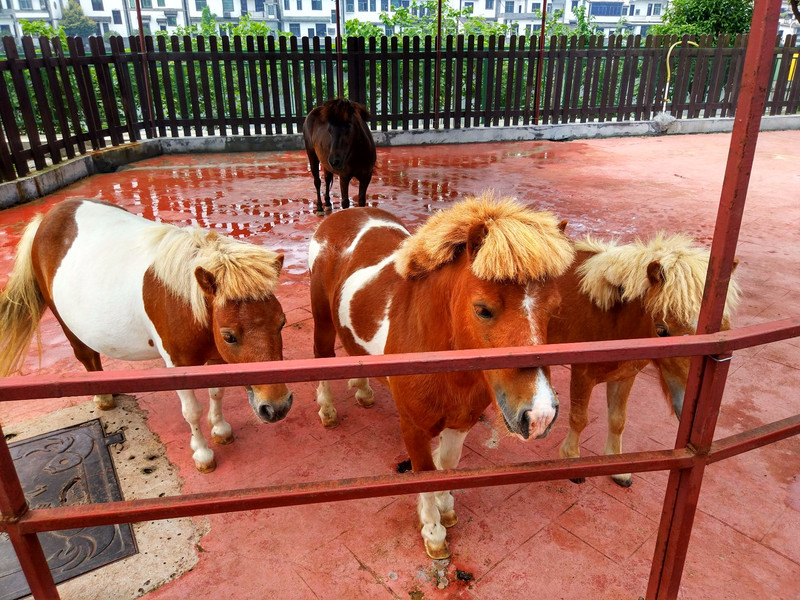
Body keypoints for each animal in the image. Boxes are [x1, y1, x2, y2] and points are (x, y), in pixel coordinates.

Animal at [0, 200, 294, 474]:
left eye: (282, 323)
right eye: (229, 336)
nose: (277, 406)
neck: (184, 300)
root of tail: (47, 217)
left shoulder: (216, 358)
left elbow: (216, 393)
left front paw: (221, 430)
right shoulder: (178, 365)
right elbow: (192, 411)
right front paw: (202, 454)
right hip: (66, 324)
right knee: (86, 355)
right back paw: (103, 398)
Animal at [306, 195, 576, 560]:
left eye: (554, 309)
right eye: (483, 309)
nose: (540, 415)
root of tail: (345, 214)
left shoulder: (461, 422)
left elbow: (447, 464)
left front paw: (445, 507)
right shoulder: (413, 428)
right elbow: (426, 475)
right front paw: (433, 532)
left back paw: (363, 391)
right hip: (321, 317)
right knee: (322, 356)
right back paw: (328, 411)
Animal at [552, 233, 740, 488]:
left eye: (724, 330)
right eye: (661, 331)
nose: (694, 409)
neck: (609, 315)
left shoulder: (624, 376)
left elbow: (618, 420)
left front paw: (618, 469)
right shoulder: (582, 375)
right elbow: (579, 418)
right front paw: (572, 461)